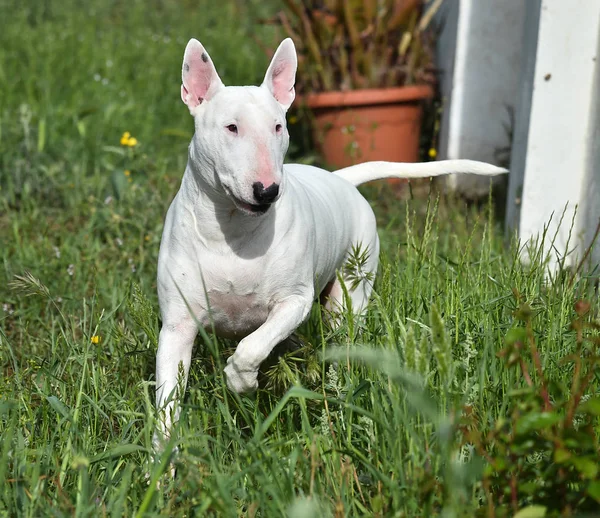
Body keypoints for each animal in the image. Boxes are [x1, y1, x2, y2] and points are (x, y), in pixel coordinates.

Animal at [155, 38, 506, 440]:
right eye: (231, 127)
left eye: (278, 126)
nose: (268, 191)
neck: (231, 230)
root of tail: (341, 179)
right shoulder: (177, 325)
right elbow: (167, 400)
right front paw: (162, 454)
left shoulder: (294, 300)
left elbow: (251, 346)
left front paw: (241, 380)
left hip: (351, 292)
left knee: (339, 341)